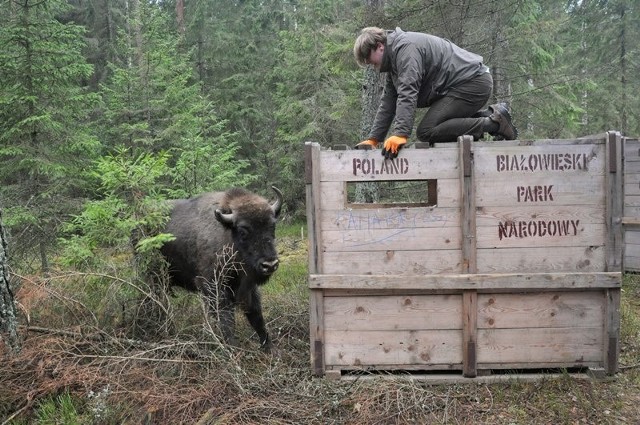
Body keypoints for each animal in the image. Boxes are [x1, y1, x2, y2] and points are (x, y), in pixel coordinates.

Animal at [160, 187, 282, 350]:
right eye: (243, 231)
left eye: (272, 226)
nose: (270, 265)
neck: (228, 235)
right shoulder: (215, 288)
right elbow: (226, 320)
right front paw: (232, 348)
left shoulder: (249, 288)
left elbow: (257, 316)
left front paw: (268, 347)